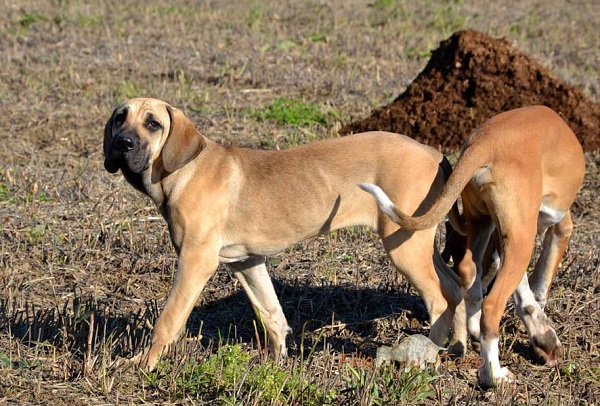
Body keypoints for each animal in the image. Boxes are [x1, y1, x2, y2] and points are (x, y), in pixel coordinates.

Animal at [104, 97, 468, 372]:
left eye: (153, 124)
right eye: (121, 118)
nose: (122, 144)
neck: (184, 170)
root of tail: (433, 152)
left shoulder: (196, 261)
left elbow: (168, 320)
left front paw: (141, 364)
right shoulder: (246, 262)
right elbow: (272, 314)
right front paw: (274, 365)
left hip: (404, 245)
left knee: (439, 299)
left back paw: (426, 358)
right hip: (418, 242)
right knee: (456, 288)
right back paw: (459, 346)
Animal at [358, 106, 584, 388]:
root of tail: (485, 143)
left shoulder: (500, 234)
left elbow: (521, 290)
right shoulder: (558, 229)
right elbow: (539, 286)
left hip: (483, 223)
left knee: (469, 272)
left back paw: (475, 327)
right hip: (521, 238)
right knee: (492, 305)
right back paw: (493, 374)